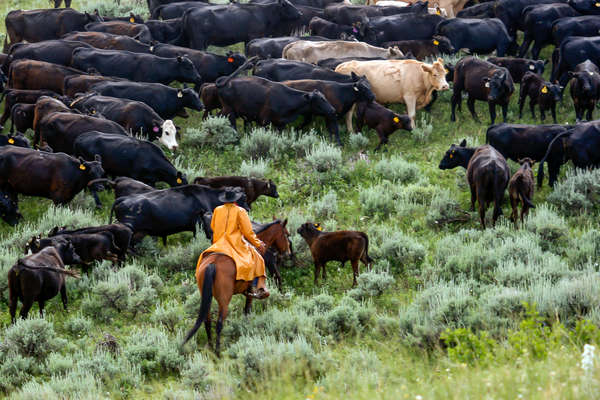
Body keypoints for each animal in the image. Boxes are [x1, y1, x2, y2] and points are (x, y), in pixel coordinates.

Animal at [183, 220, 290, 354]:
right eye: (286, 234)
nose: (287, 253)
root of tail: (212, 264)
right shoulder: (250, 294)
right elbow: (247, 311)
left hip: (206, 297)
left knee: (207, 321)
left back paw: (211, 347)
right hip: (224, 300)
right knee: (219, 323)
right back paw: (218, 352)